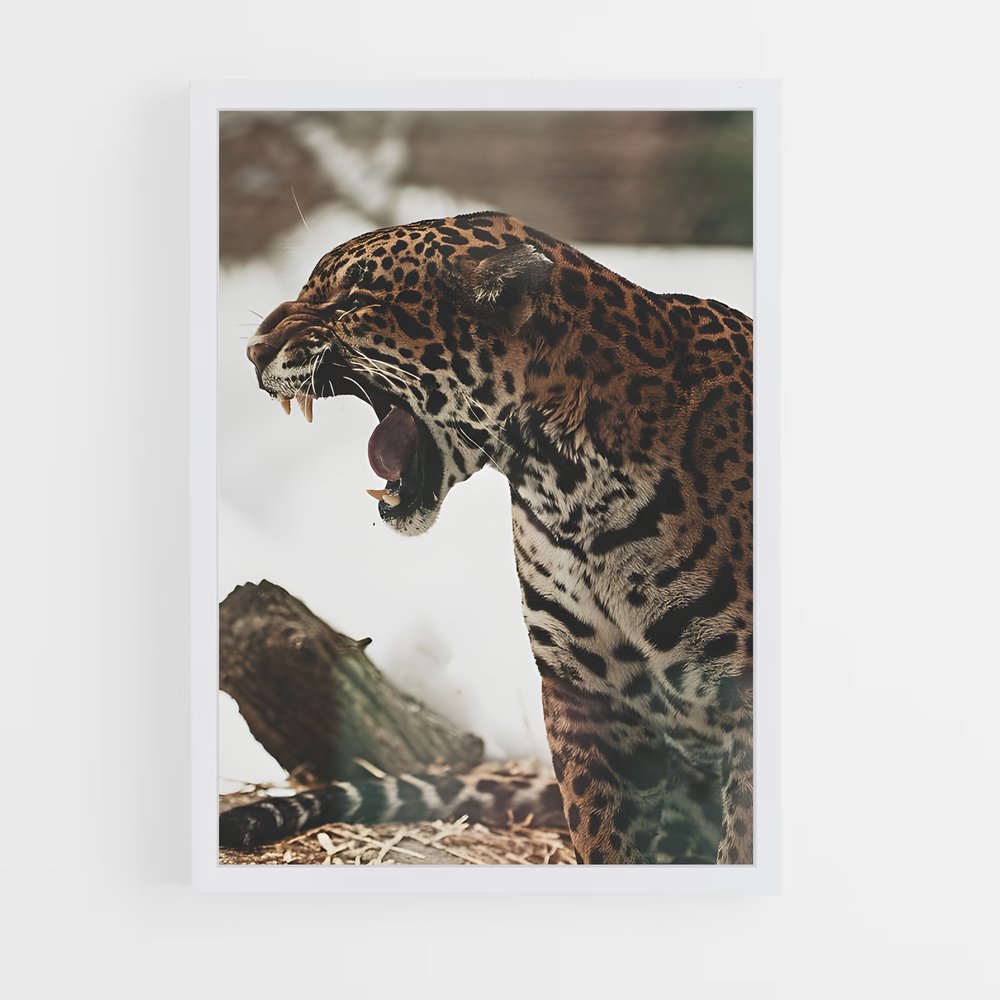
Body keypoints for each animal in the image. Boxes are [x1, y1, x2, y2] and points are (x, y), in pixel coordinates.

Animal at [231, 211, 754, 864]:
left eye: (354, 301)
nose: (253, 352)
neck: (570, 490)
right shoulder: (580, 693)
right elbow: (601, 834)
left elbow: (744, 838)